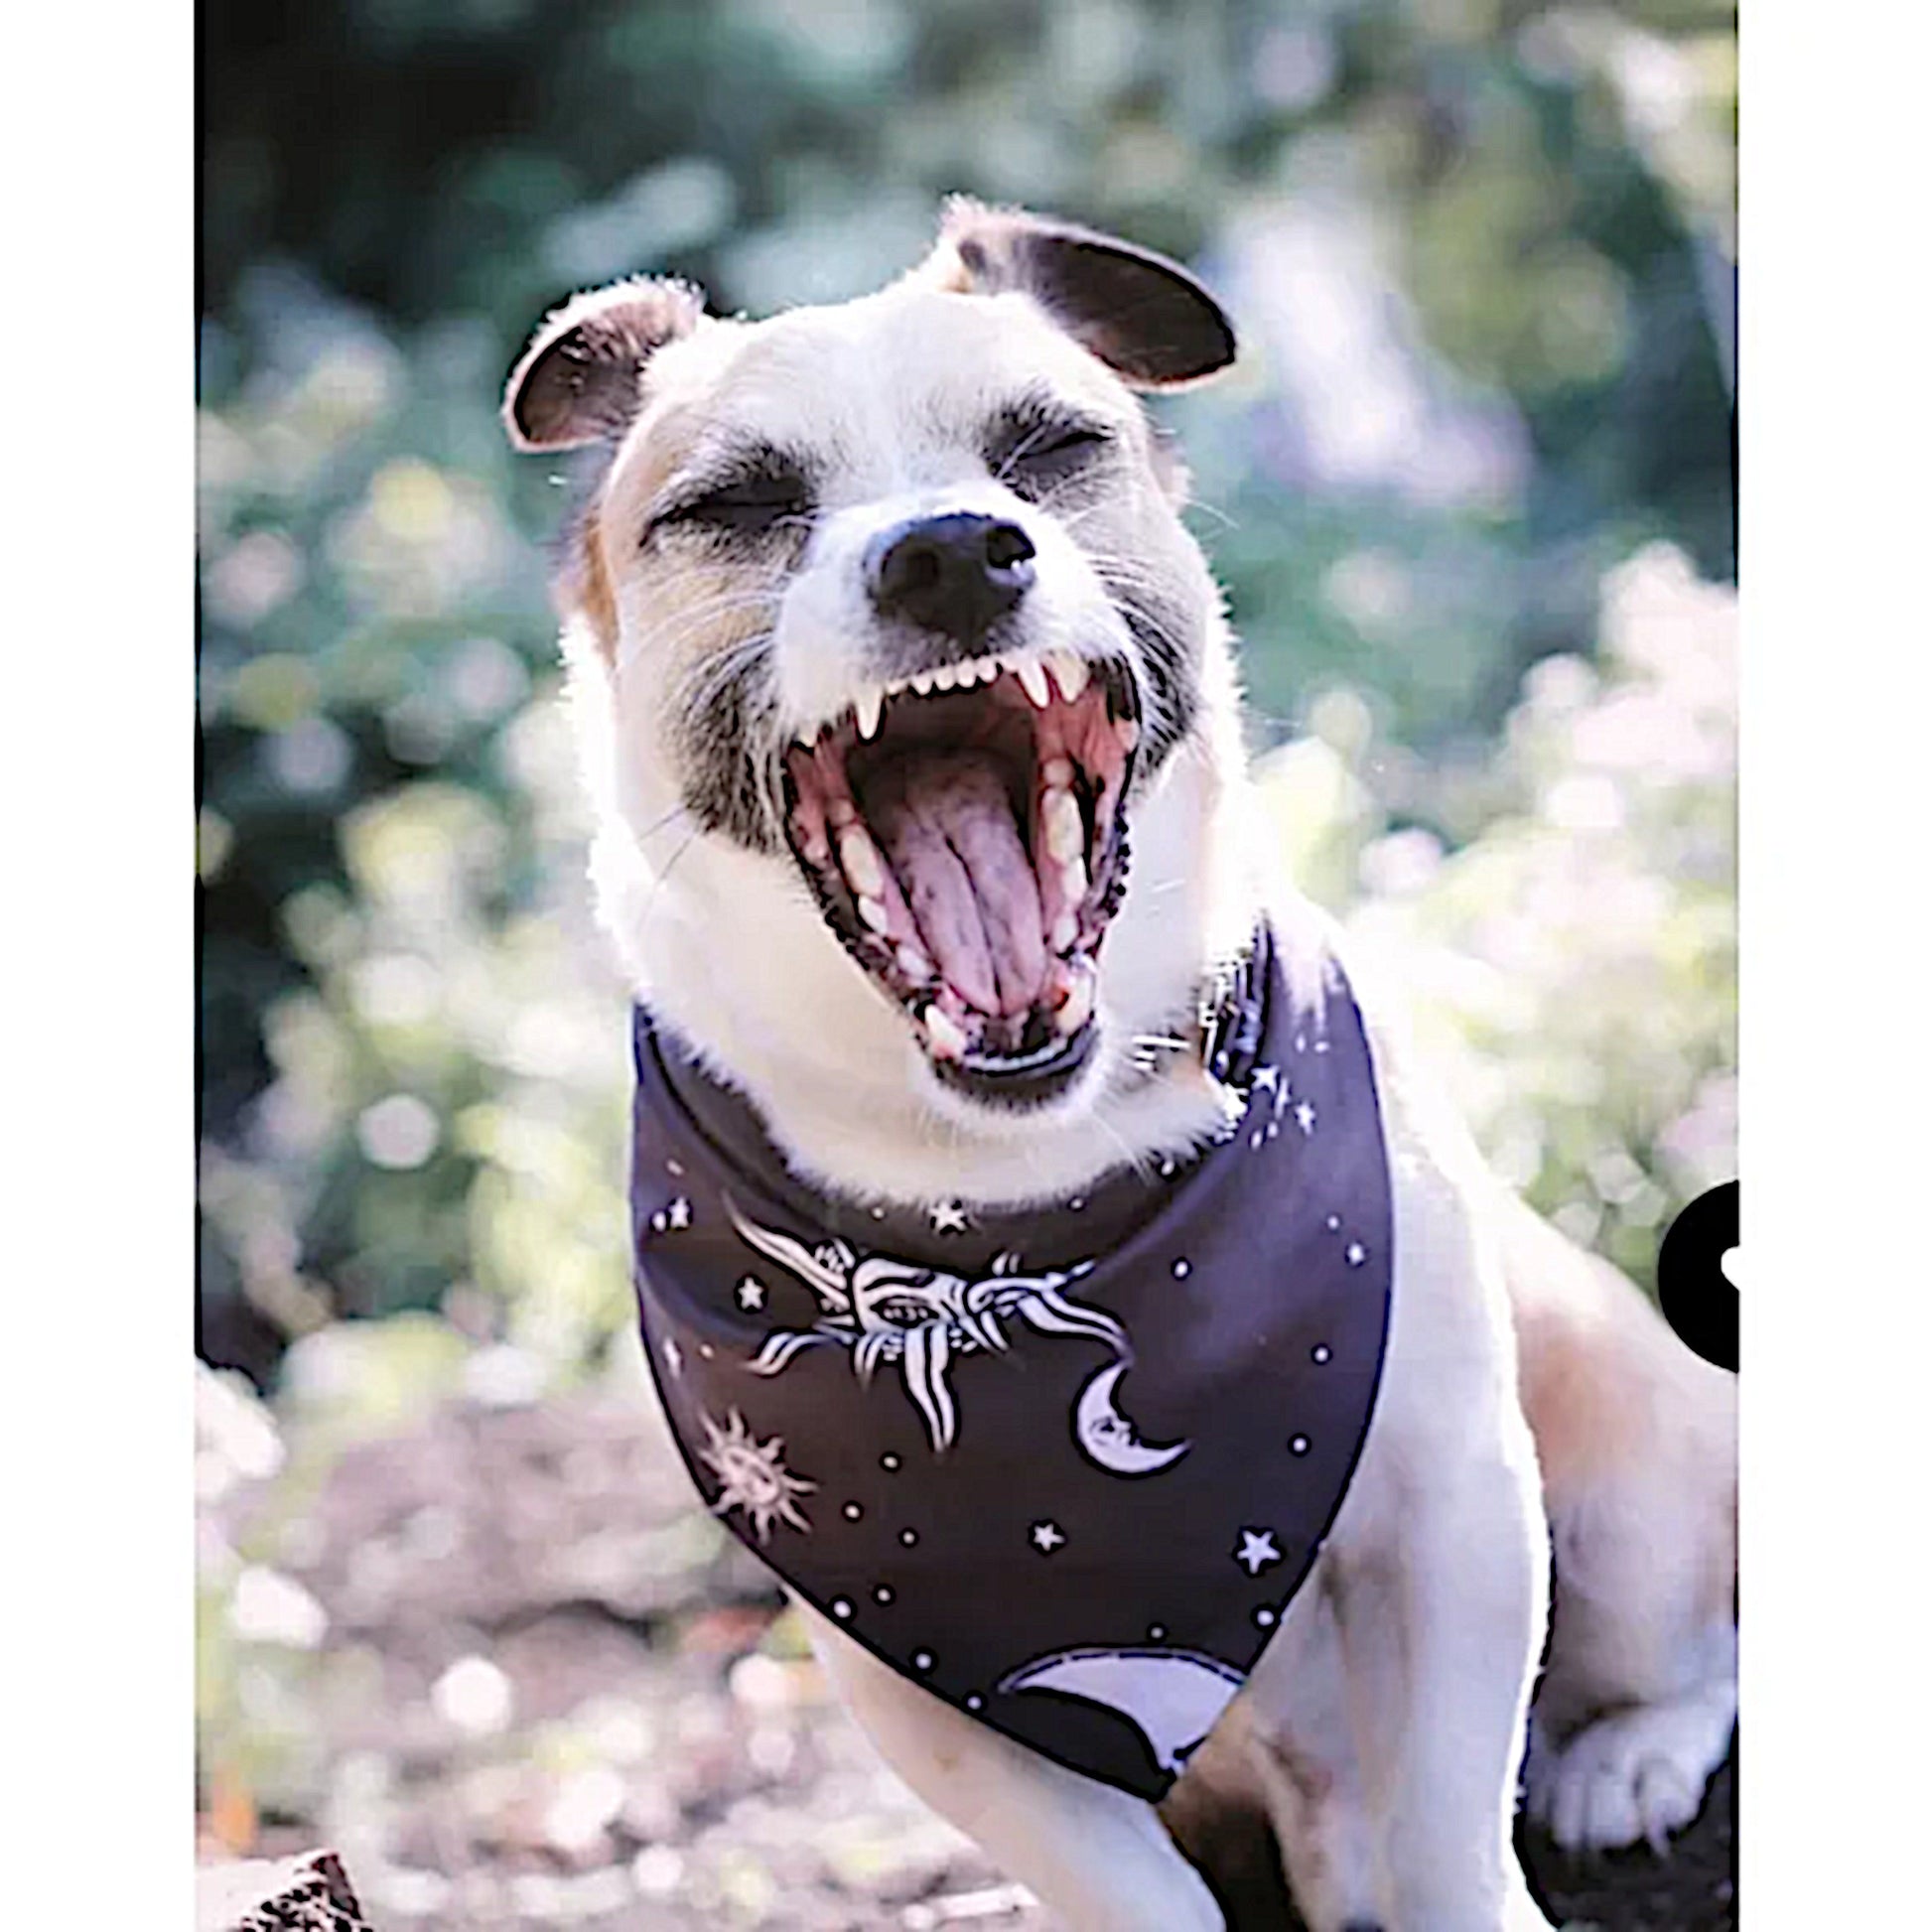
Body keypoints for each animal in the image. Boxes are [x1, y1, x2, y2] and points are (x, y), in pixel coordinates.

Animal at [501, 200, 1738, 1932]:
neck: (1021, 1184)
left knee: (1695, 1638)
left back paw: (1622, 1752)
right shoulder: (928, 1685)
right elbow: (1134, 1891)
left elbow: (1449, 1830)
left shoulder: (1453, 1513)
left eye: (1049, 446)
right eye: (734, 505)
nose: (951, 551)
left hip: (1617, 1477)